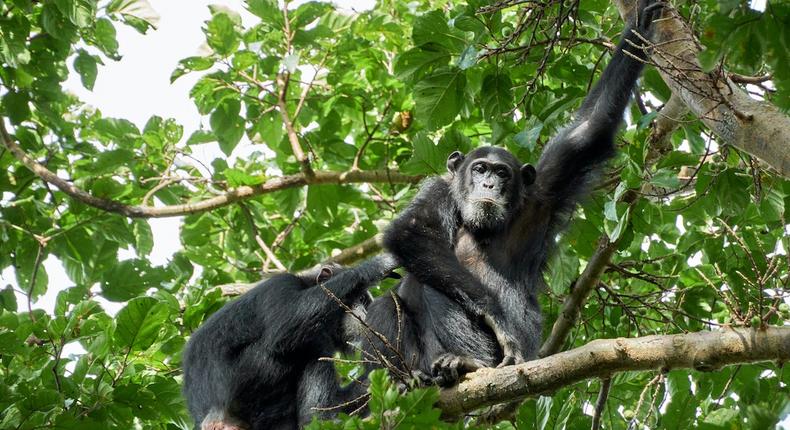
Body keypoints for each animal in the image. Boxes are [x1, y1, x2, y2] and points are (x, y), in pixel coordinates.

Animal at [183, 254, 400, 428]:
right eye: (361, 298)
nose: (366, 311)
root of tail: (212, 420)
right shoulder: (279, 285)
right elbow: (284, 326)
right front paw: (377, 265)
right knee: (309, 350)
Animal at [368, 0, 664, 386]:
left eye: (501, 173)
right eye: (480, 169)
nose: (488, 184)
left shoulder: (547, 188)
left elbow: (590, 128)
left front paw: (640, 25)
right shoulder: (439, 188)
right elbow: (412, 230)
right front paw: (494, 314)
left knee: (432, 287)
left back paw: (466, 363)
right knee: (397, 297)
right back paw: (406, 378)